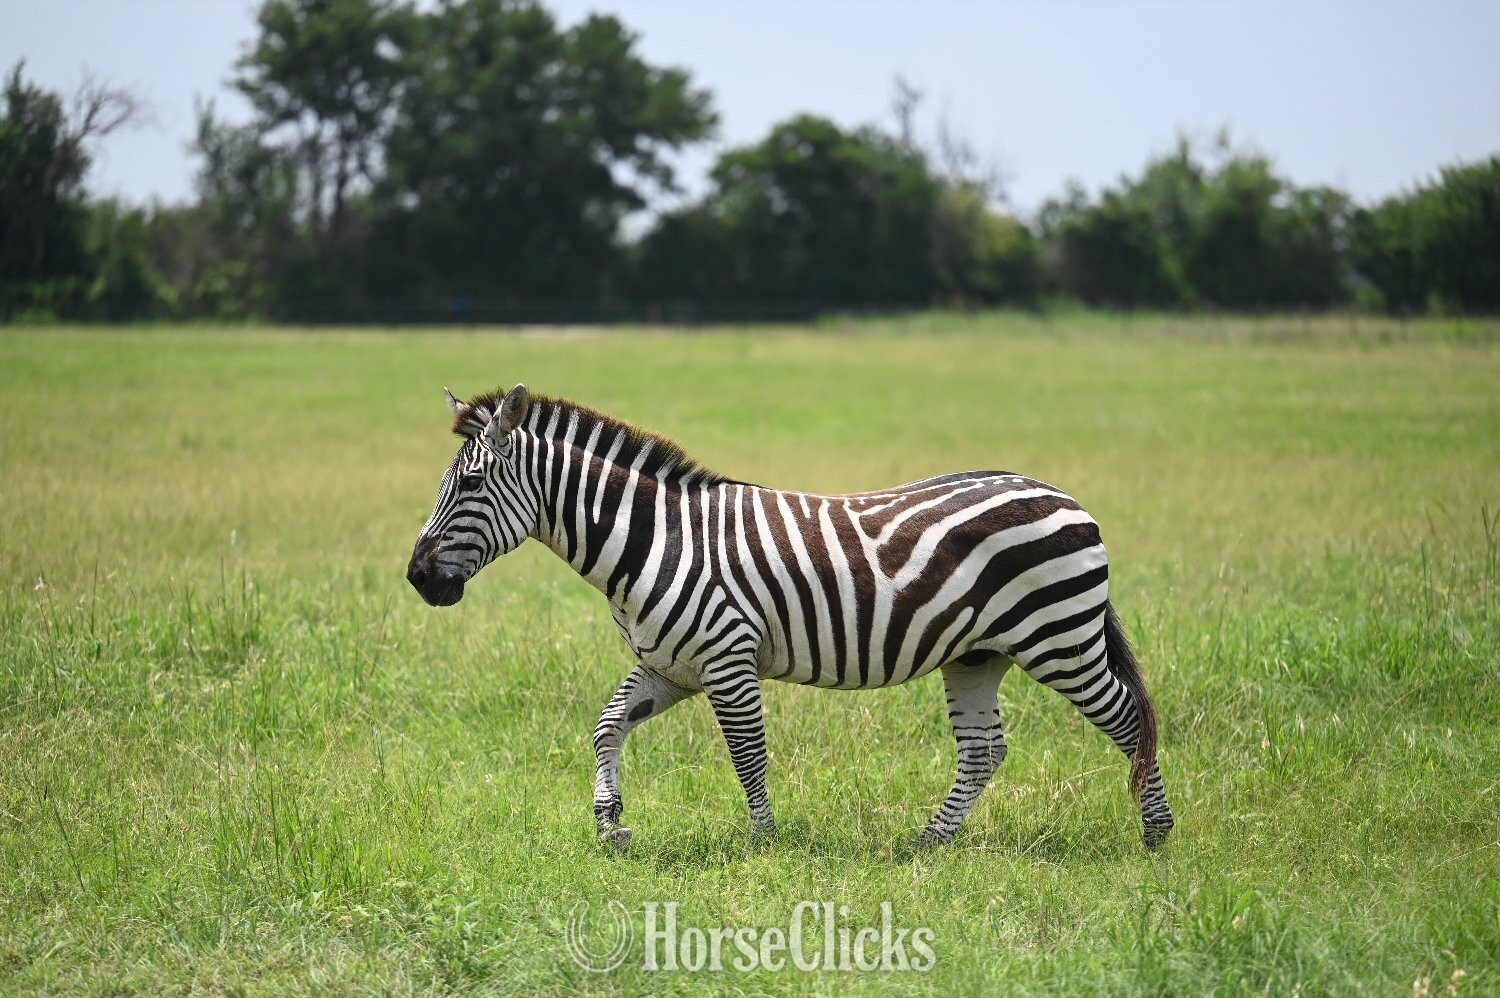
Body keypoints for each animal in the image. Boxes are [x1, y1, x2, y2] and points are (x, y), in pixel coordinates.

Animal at [406, 384, 1175, 850]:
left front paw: (763, 842)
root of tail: (1061, 493)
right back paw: (928, 843)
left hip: (1059, 640)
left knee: (1130, 720)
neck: (653, 539)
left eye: (470, 483)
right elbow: (606, 726)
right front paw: (611, 822)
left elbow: (748, 753)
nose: (417, 578)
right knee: (984, 750)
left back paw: (1158, 836)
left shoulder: (727, 656)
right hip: (978, 654)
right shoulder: (670, 666)